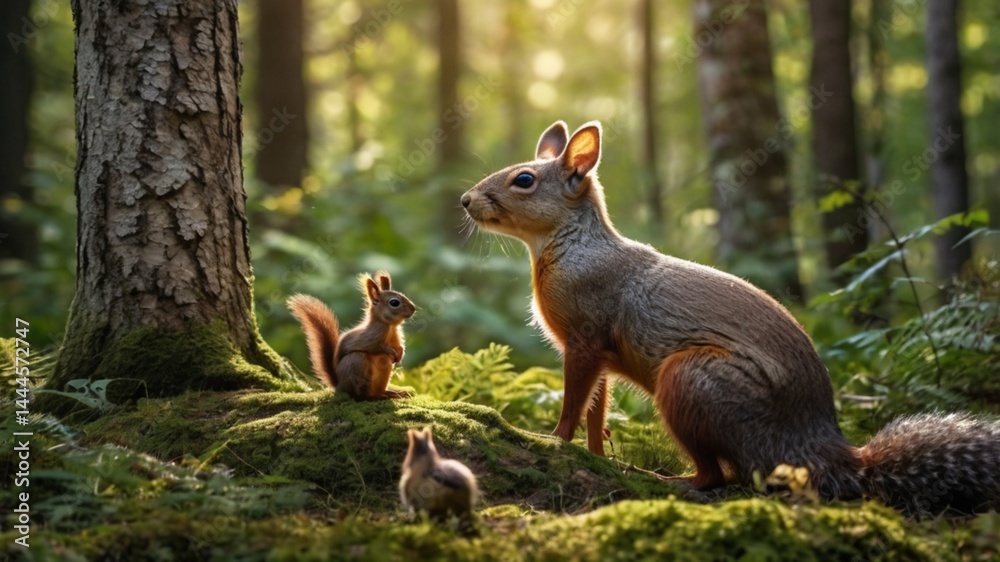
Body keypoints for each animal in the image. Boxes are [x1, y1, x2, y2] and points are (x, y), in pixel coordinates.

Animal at [287, 271, 415, 400]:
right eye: (394, 302)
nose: (413, 308)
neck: (389, 326)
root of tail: (339, 385)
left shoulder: (395, 336)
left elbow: (399, 346)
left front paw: (400, 353)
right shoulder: (370, 337)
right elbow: (375, 347)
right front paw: (391, 352)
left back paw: (392, 393)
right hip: (356, 363)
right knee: (361, 395)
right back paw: (377, 396)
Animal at [460, 119, 1000, 515]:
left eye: (524, 180)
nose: (465, 200)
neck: (570, 248)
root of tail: (819, 452)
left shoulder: (586, 337)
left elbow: (575, 400)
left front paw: (552, 439)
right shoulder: (599, 355)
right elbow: (598, 409)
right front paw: (593, 454)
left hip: (690, 380)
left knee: (718, 476)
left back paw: (667, 479)